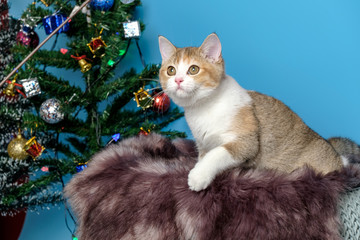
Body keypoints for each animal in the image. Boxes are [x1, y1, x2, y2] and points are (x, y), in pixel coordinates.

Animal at [159, 33, 344, 191]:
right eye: (171, 70)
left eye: (193, 69)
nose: (178, 80)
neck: (203, 108)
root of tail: (339, 160)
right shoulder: (203, 144)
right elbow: (204, 156)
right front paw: (199, 168)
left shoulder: (246, 143)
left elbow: (217, 153)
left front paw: (198, 176)